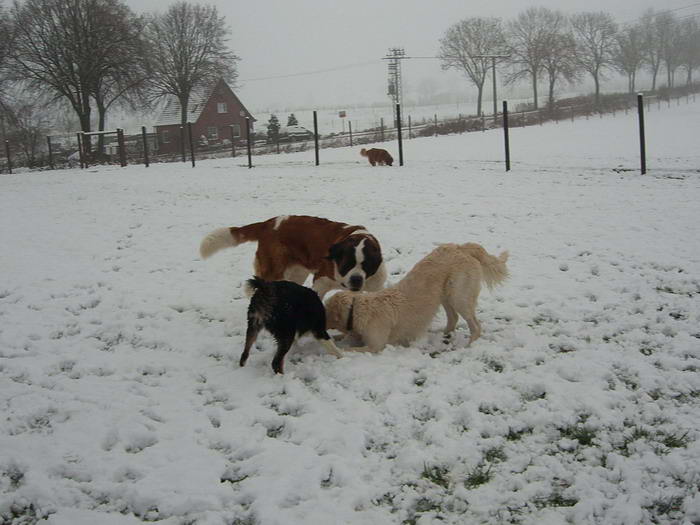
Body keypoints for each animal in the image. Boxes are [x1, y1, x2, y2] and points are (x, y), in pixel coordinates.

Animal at [200, 215, 388, 296]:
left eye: (366, 265)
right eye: (346, 264)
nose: (356, 279)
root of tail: (267, 223)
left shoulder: (375, 286)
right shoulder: (321, 280)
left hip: (296, 272)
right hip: (273, 270)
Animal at [322, 243, 508, 352]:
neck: (358, 309)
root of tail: (461, 247)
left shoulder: (376, 345)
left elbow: (352, 349)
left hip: (459, 296)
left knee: (475, 326)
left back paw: (469, 346)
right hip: (444, 294)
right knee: (453, 318)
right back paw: (443, 334)